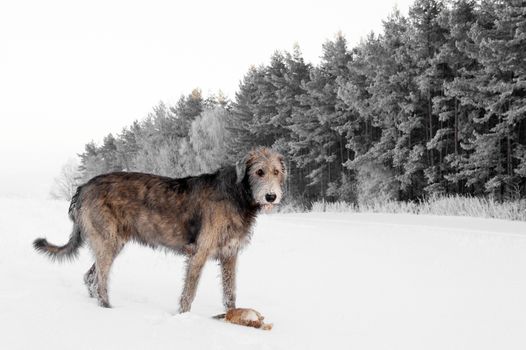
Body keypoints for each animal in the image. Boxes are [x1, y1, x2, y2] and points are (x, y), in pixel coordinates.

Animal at [33, 147, 286, 312]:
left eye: (277, 172)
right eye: (259, 171)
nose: (271, 197)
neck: (237, 193)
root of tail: (83, 187)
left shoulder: (229, 254)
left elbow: (230, 292)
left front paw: (231, 316)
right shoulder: (199, 252)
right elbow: (188, 294)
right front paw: (183, 319)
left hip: (111, 242)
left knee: (90, 276)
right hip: (107, 241)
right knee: (99, 280)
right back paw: (108, 309)